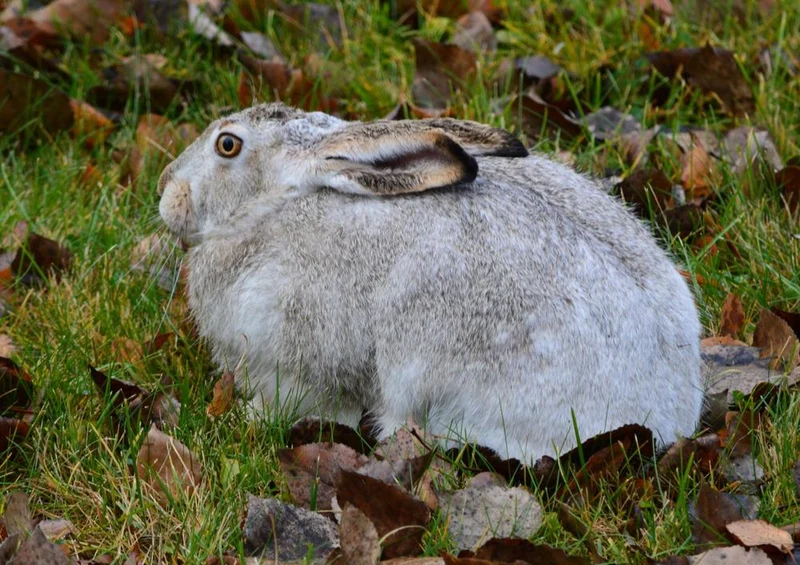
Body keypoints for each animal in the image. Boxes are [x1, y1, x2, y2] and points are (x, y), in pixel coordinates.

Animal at [157, 102, 703, 461]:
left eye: (227, 145)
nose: (166, 187)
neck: (276, 204)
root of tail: (670, 415)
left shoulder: (301, 359)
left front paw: (242, 419)